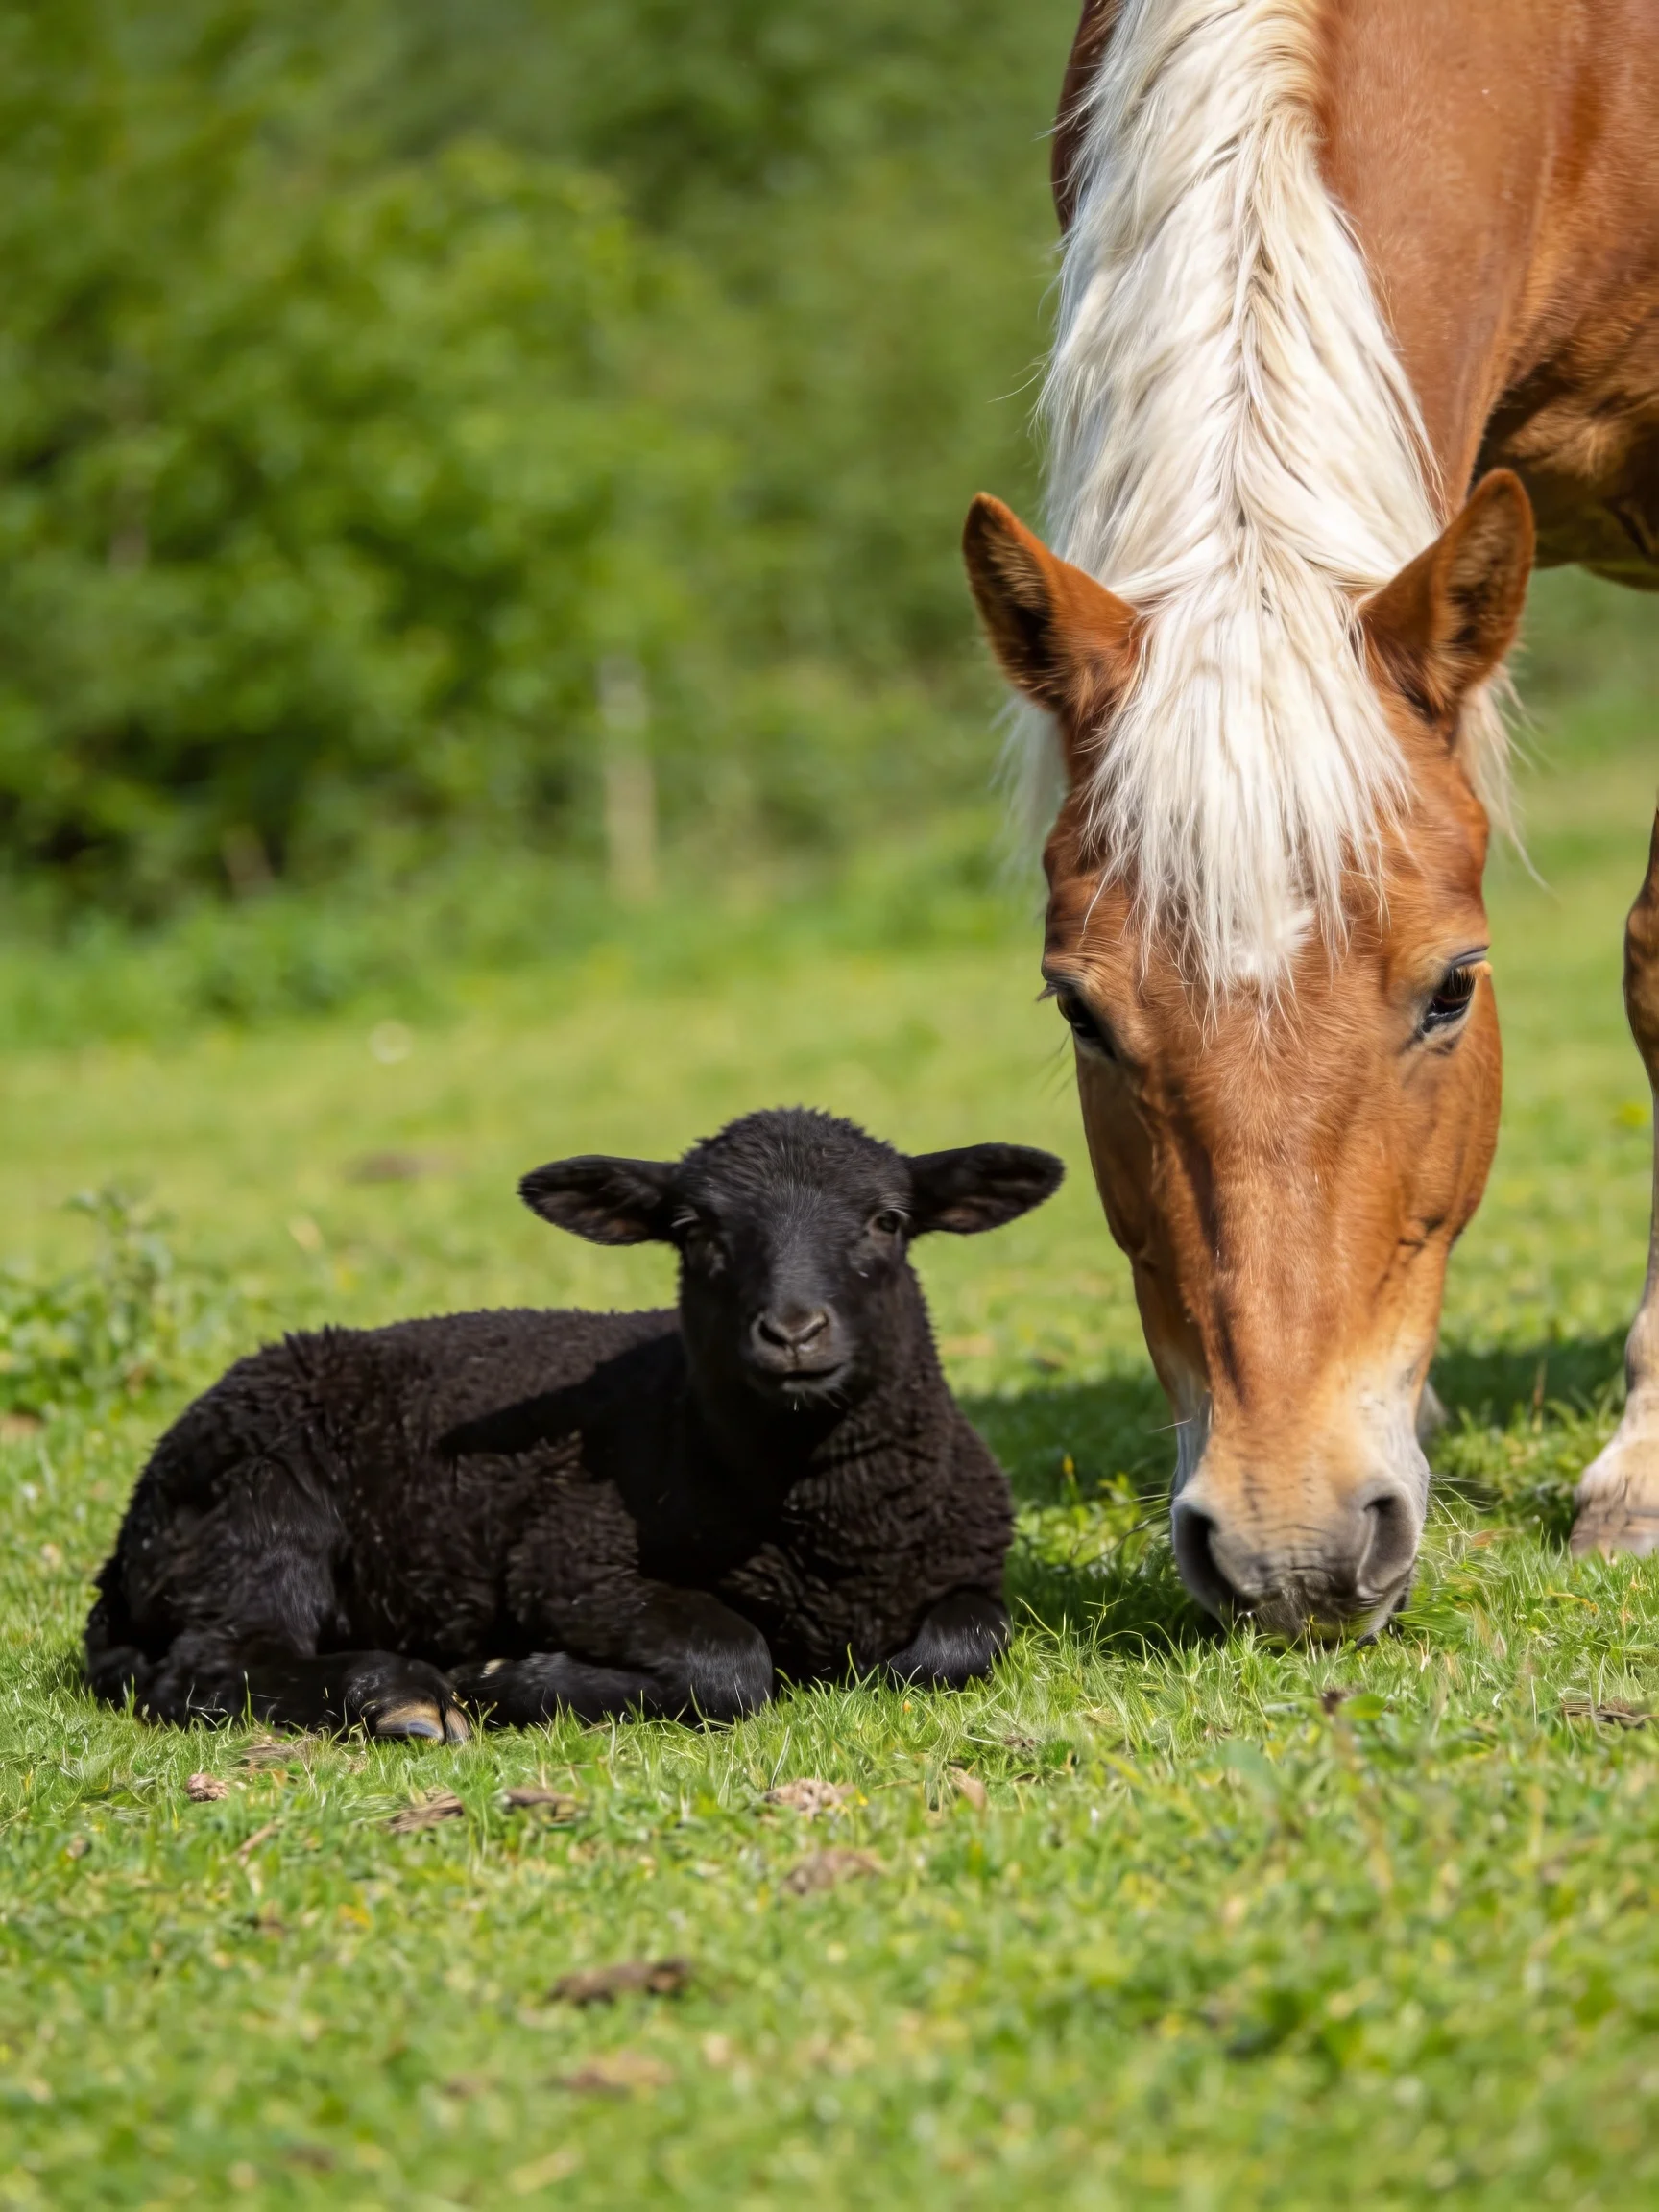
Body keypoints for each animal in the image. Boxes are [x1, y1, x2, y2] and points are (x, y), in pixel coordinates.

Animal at [85, 1109, 1063, 1738]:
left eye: (887, 1220)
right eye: (693, 1229)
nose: (792, 1332)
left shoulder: (971, 1570)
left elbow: (963, 1644)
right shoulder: (572, 1567)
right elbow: (729, 1659)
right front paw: (510, 1680)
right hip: (259, 1509)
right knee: (211, 1665)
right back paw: (402, 1696)